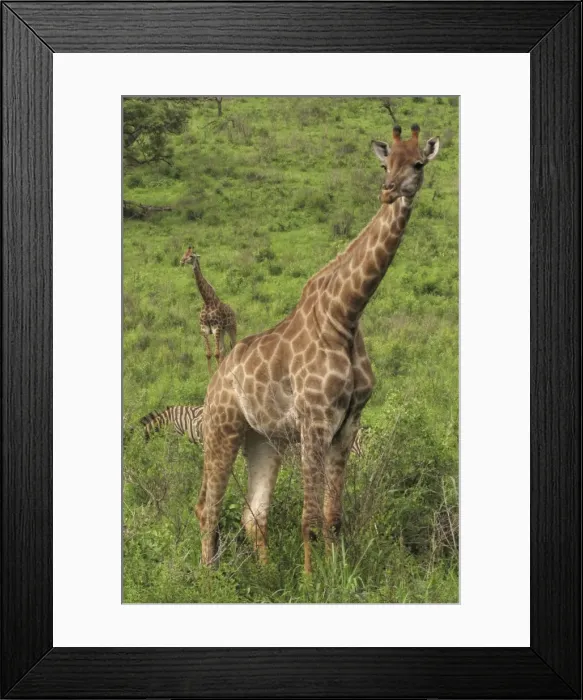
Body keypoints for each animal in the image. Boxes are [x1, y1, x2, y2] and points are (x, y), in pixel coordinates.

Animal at [197, 124, 439, 572]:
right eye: (385, 164)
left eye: (418, 164)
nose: (388, 191)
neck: (345, 315)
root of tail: (215, 378)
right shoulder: (314, 420)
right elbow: (309, 518)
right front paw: (312, 579)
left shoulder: (348, 425)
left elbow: (333, 515)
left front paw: (338, 573)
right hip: (222, 429)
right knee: (208, 508)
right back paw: (209, 578)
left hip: (264, 440)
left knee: (253, 514)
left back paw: (268, 576)